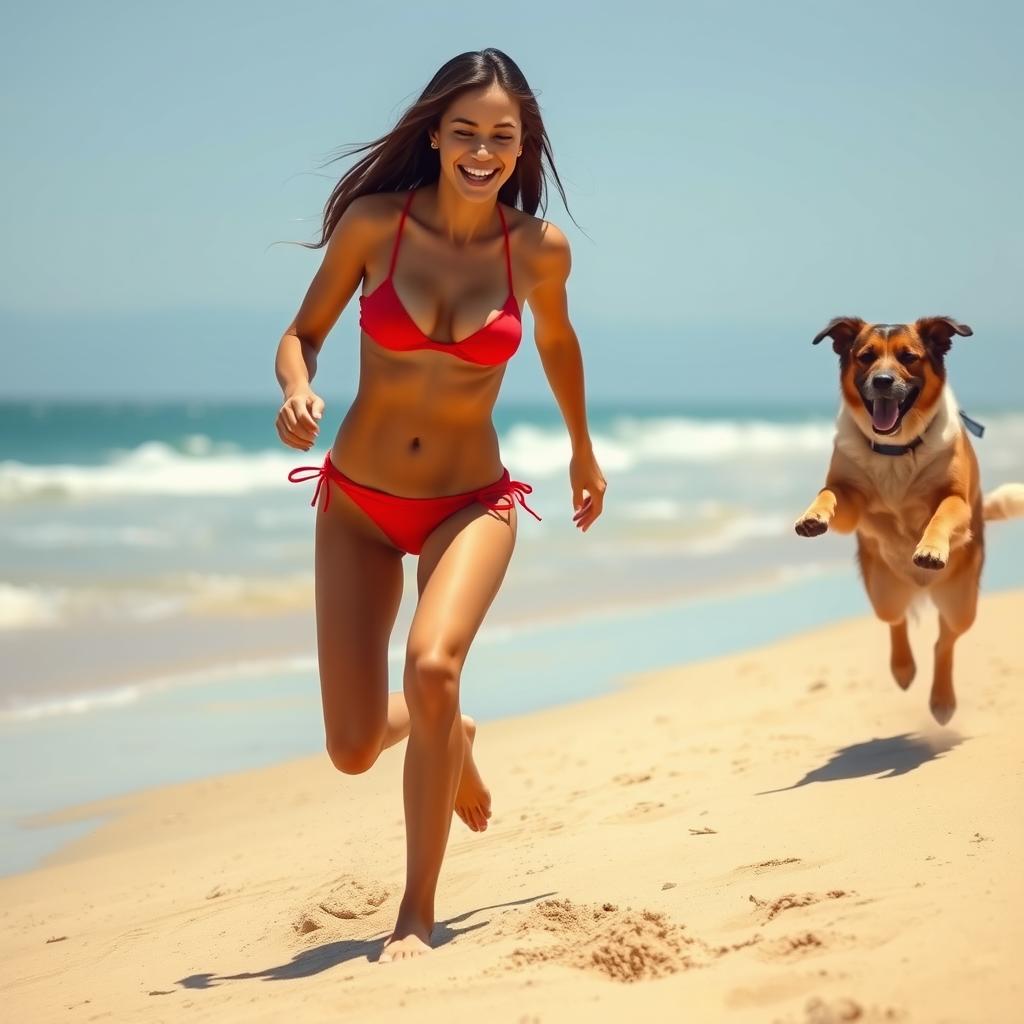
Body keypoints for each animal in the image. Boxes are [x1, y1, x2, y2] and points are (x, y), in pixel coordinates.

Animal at [794, 315, 1024, 724]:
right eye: (866, 357)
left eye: (908, 357)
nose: (883, 381)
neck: (896, 450)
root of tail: (920, 588)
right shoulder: (849, 501)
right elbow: (829, 492)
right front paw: (813, 516)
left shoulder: (957, 500)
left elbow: (942, 513)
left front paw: (930, 549)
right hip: (883, 590)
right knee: (896, 620)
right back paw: (903, 669)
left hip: (961, 603)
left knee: (945, 640)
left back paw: (942, 700)